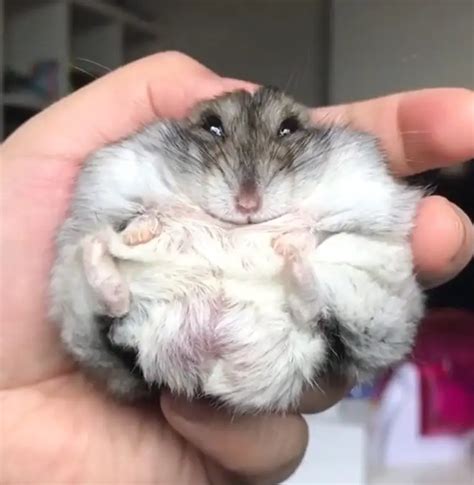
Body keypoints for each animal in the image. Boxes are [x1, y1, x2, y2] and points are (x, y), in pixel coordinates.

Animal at [50, 86, 424, 412]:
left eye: (289, 128)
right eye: (211, 126)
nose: (247, 203)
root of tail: (212, 357)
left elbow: (319, 228)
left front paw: (291, 240)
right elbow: (146, 215)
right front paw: (137, 234)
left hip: (370, 318)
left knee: (315, 314)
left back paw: (293, 256)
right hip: (85, 316)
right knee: (113, 307)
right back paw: (97, 248)